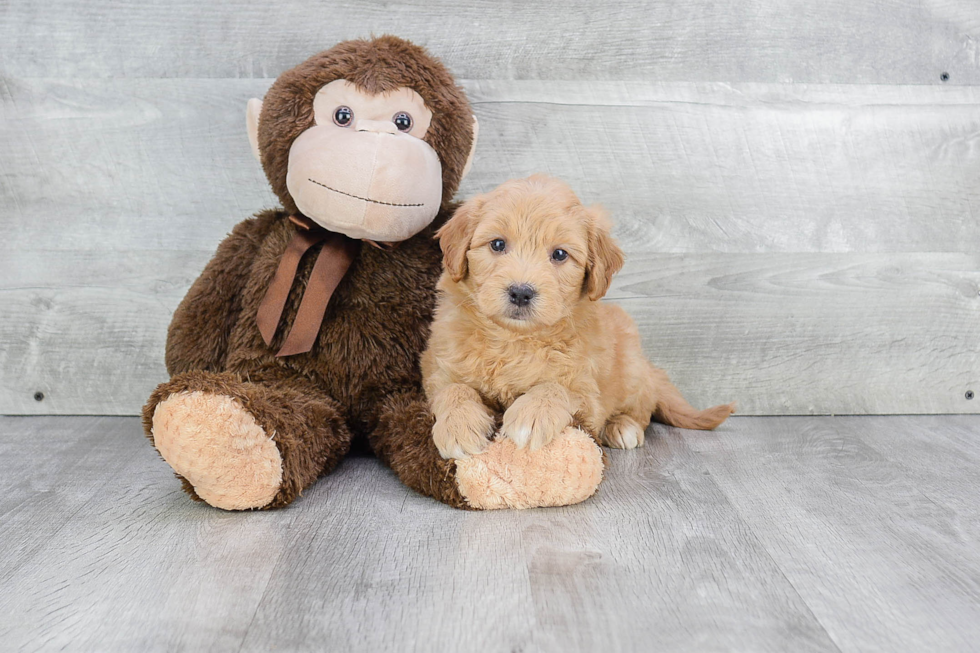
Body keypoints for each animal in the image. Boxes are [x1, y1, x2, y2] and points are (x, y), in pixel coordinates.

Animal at [422, 174, 736, 458]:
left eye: (560, 254)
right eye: (497, 244)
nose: (521, 293)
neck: (514, 339)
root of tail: (649, 367)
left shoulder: (588, 391)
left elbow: (558, 388)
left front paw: (533, 413)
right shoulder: (438, 367)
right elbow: (452, 389)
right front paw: (458, 426)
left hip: (632, 369)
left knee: (642, 410)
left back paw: (623, 426)